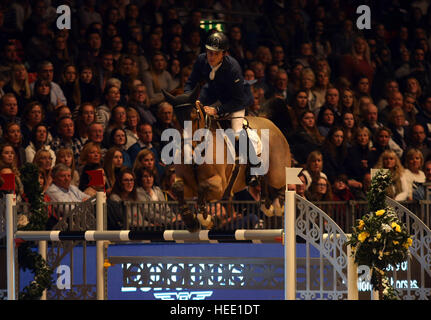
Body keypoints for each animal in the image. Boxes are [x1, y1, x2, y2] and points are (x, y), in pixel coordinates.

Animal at [163, 87, 294, 232]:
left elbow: (203, 186)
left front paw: (204, 218)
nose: (187, 154)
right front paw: (190, 220)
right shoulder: (187, 186)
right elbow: (177, 187)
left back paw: (279, 205)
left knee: (281, 181)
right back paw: (267, 204)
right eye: (174, 120)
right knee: (264, 181)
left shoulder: (220, 186)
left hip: (277, 173)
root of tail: (270, 123)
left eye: (194, 118)